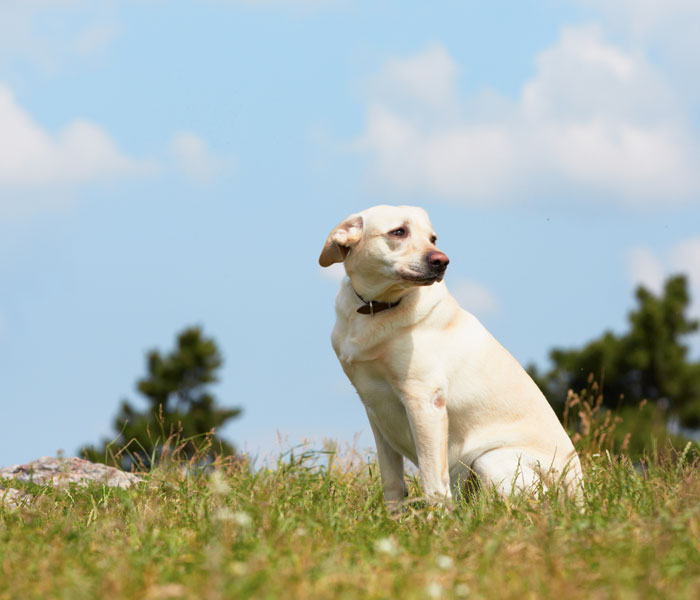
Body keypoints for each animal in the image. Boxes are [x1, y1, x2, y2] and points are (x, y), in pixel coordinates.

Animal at [320, 206, 584, 506]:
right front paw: (393, 516)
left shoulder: (424, 400)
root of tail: (579, 494)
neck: (377, 307)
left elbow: (433, 481)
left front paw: (436, 518)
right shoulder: (374, 407)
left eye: (433, 238)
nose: (442, 261)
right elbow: (392, 482)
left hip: (489, 459)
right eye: (398, 232)